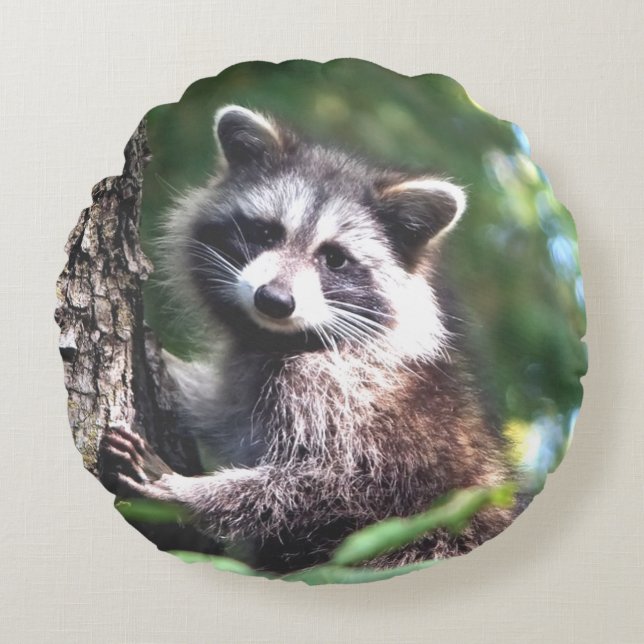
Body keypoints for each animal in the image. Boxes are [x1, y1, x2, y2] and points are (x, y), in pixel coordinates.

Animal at [104, 105, 518, 572]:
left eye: (334, 259)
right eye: (267, 233)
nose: (274, 300)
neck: (281, 340)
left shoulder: (350, 398)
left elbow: (333, 484)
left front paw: (187, 494)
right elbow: (225, 414)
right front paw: (172, 369)